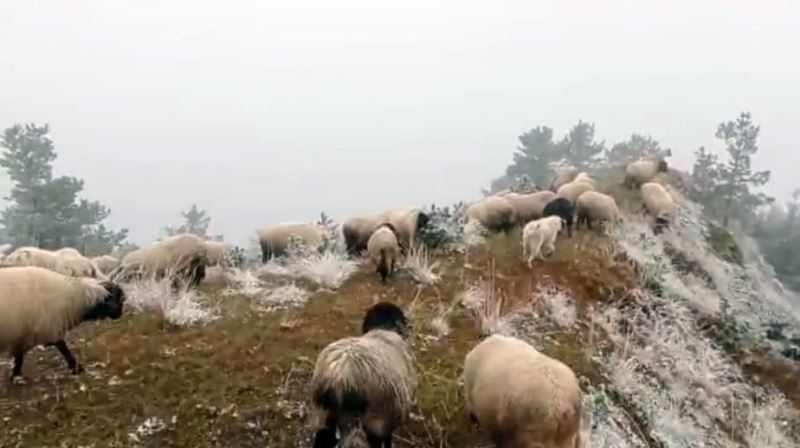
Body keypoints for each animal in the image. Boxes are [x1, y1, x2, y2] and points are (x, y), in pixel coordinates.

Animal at [310, 300, 416, 448]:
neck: (383, 329)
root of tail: (338, 374)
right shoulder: (388, 417)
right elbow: (386, 439)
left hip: (326, 411)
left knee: (323, 436)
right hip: (372, 417)